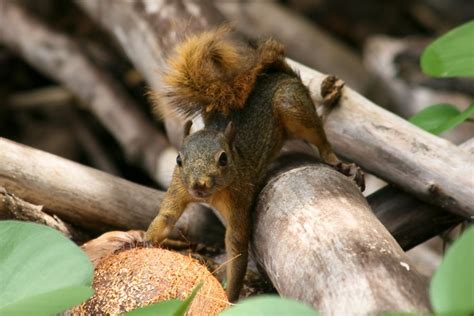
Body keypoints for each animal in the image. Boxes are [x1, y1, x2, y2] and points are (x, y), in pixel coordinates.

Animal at [146, 26, 364, 302]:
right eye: (178, 159)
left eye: (223, 159)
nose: (199, 185)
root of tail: (277, 74)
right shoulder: (179, 187)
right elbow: (165, 218)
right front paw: (143, 242)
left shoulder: (238, 198)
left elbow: (237, 244)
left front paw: (230, 298)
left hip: (292, 105)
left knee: (320, 138)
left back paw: (338, 162)